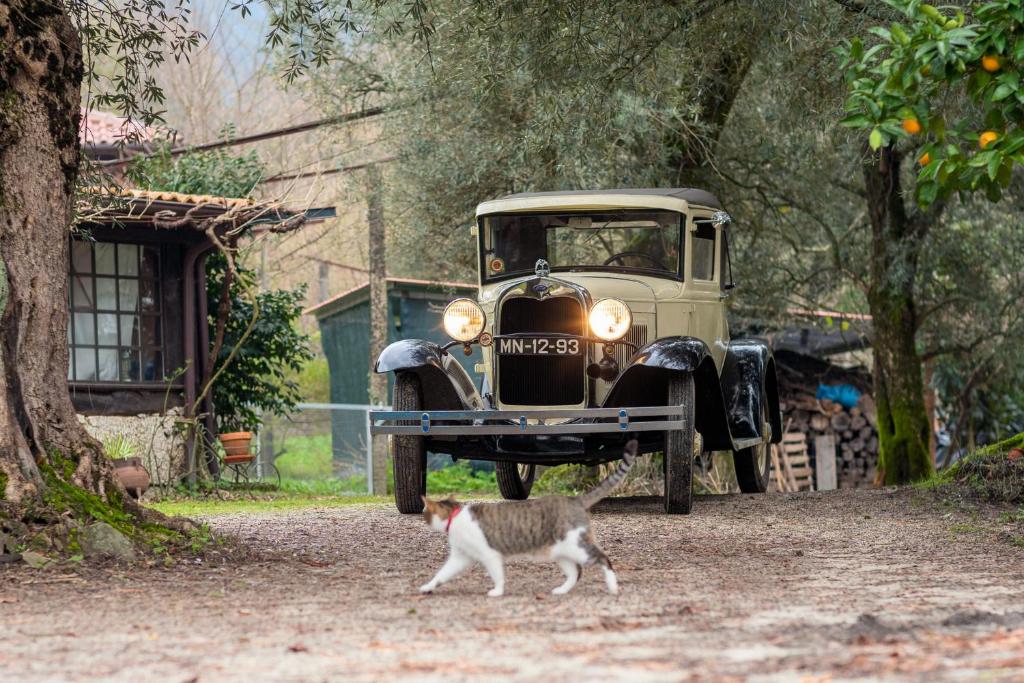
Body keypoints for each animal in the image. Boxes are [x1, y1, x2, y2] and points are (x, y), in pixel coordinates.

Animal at [415, 438, 630, 598]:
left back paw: (613, 587)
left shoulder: (489, 553)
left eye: (426, 513)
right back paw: (561, 590)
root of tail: (574, 499)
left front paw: (497, 591)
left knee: (603, 559)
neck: (456, 516)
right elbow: (443, 573)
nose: (424, 517)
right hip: (561, 550)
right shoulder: (461, 556)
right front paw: (428, 586)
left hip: (576, 543)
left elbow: (497, 574)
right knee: (576, 572)